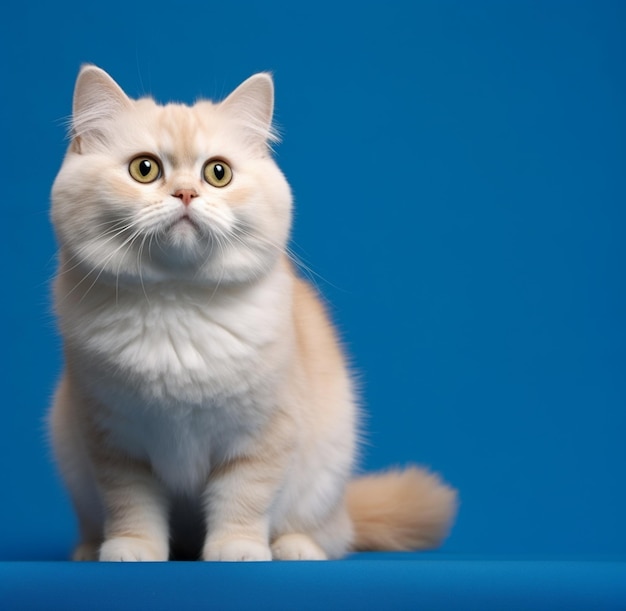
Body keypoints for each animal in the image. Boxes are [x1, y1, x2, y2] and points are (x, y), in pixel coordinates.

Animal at [48, 64, 456, 560]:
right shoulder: (113, 442)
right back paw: (91, 548)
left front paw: (237, 549)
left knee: (329, 534)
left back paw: (296, 548)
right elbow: (131, 505)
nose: (186, 194)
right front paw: (131, 549)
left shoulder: (263, 434)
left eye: (218, 173)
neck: (176, 301)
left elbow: (243, 497)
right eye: (144, 169)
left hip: (324, 476)